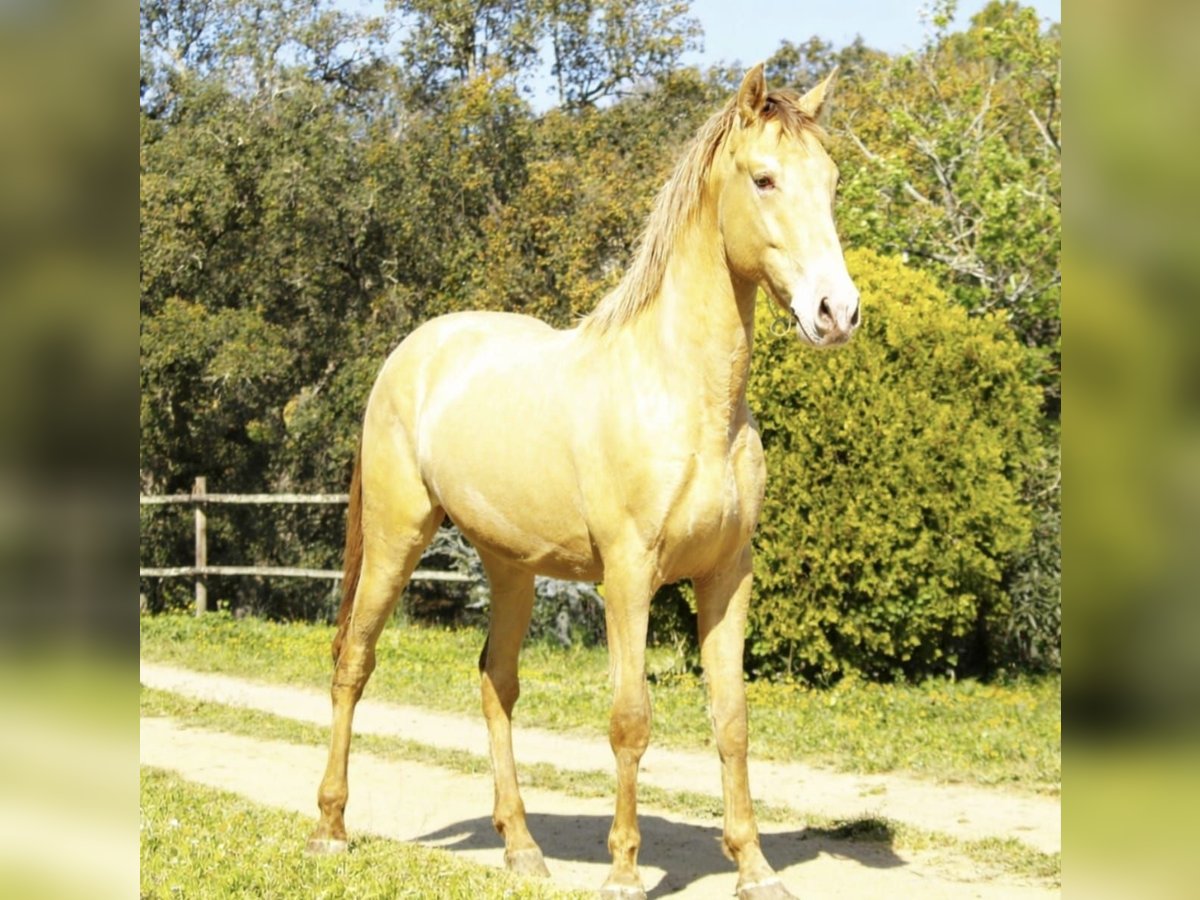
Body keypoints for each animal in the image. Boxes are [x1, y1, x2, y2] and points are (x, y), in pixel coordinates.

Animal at [307, 64, 860, 900]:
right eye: (764, 178)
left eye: (829, 181)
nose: (837, 312)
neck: (686, 396)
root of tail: (410, 354)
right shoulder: (628, 577)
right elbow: (630, 719)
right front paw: (625, 872)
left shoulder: (728, 576)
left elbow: (731, 720)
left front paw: (756, 868)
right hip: (396, 540)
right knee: (353, 665)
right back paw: (333, 828)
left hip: (509, 567)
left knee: (495, 682)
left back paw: (521, 848)